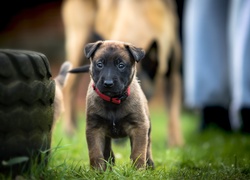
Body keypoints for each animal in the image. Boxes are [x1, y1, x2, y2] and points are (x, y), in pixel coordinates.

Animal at [61, 0, 183, 146]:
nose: (118, 140)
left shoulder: (173, 74)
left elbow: (173, 114)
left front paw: (175, 143)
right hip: (79, 42)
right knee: (69, 88)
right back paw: (70, 128)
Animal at [69, 40, 154, 170]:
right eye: (100, 64)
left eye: (121, 65)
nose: (108, 83)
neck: (113, 101)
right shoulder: (94, 128)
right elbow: (95, 153)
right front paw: (97, 171)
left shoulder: (139, 126)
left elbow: (138, 152)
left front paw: (138, 170)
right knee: (107, 149)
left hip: (147, 128)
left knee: (147, 147)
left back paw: (150, 164)